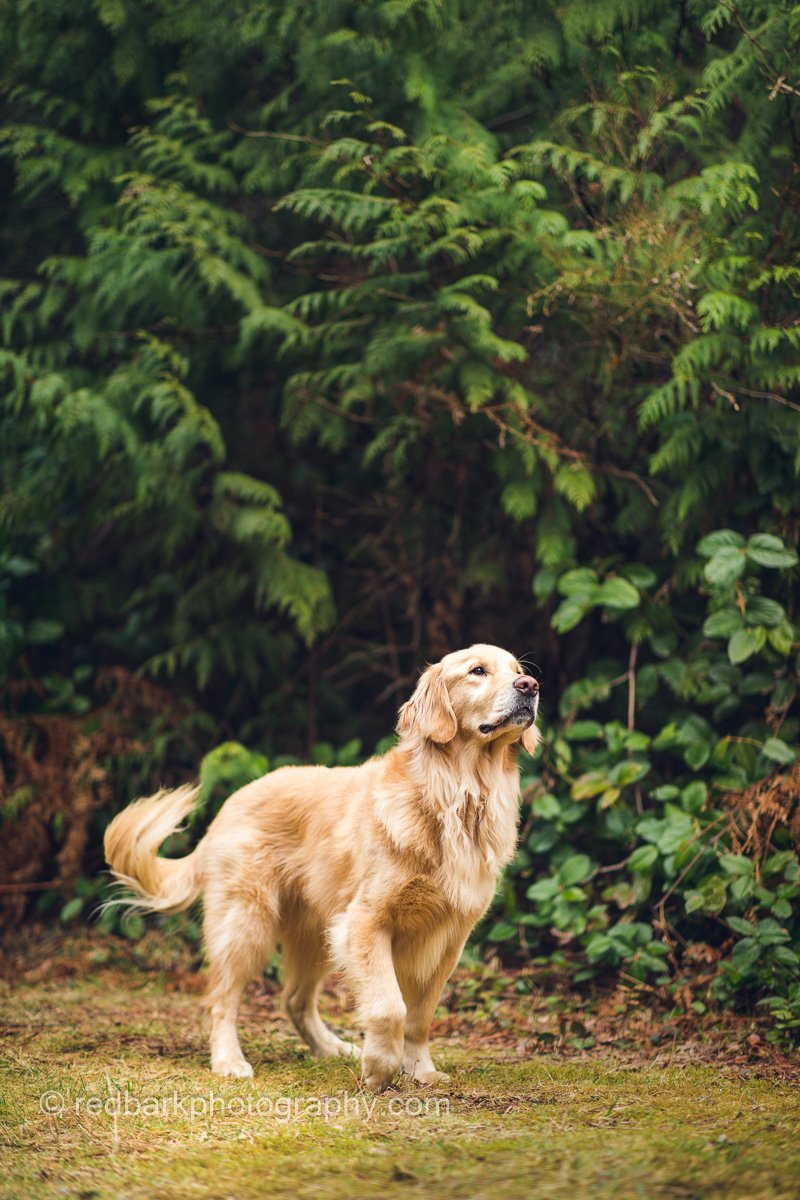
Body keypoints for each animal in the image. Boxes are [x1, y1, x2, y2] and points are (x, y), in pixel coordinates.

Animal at [104, 643, 537, 1094]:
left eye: (517, 670)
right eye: (477, 671)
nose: (531, 686)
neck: (456, 795)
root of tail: (231, 803)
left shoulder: (450, 938)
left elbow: (420, 1015)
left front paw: (419, 1069)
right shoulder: (366, 921)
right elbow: (389, 1006)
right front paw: (379, 1068)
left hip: (316, 935)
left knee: (294, 1000)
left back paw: (332, 1048)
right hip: (246, 924)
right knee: (222, 999)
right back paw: (229, 1060)